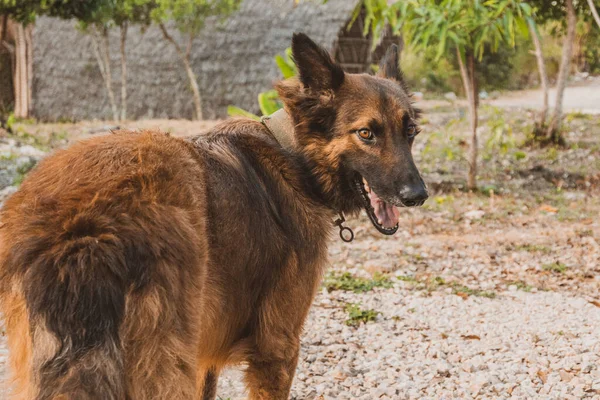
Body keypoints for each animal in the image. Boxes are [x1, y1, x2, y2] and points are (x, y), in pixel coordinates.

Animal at [0, 32, 426, 398]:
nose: (418, 195)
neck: (296, 155)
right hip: (167, 361)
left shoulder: (205, 356)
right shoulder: (278, 347)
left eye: (411, 132)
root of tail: (81, 226)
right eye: (366, 134)